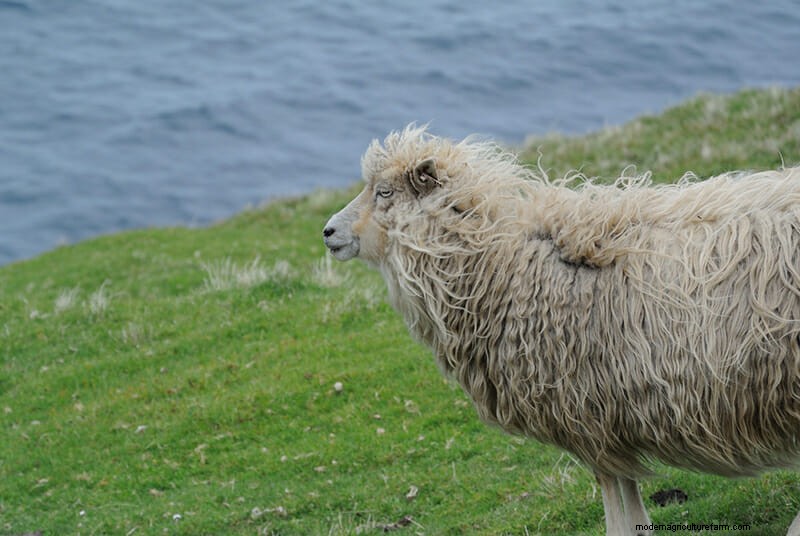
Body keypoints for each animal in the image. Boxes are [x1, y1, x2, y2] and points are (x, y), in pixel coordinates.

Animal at [322, 124, 800, 535]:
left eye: (384, 192)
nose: (328, 232)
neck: (501, 262)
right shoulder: (609, 413)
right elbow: (626, 485)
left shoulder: (586, 410)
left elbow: (613, 492)